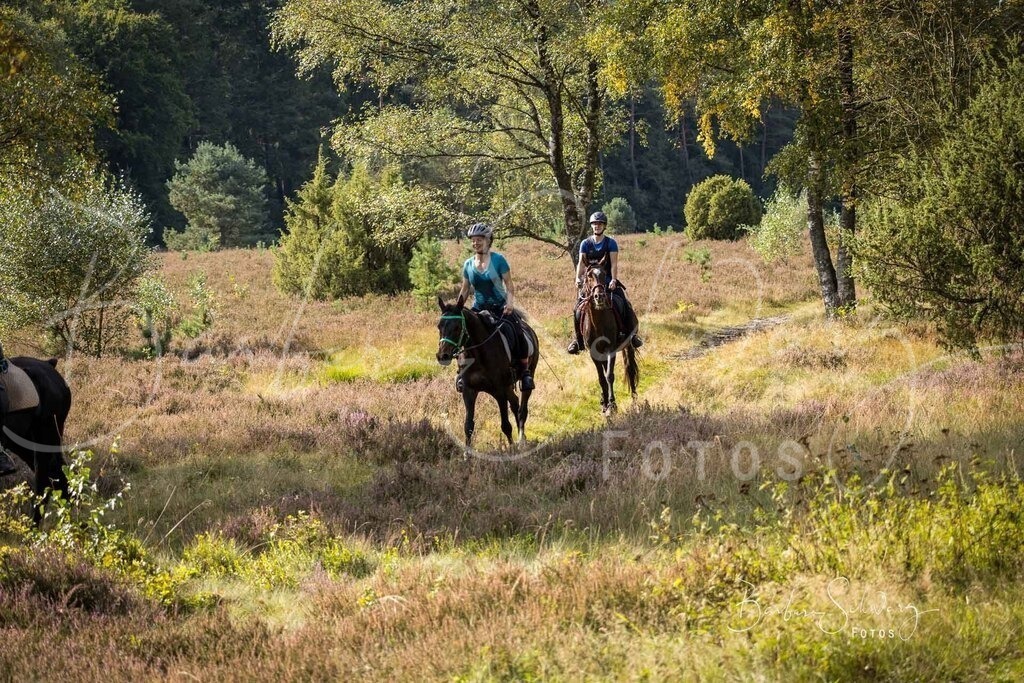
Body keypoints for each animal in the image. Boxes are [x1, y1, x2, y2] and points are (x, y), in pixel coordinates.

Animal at [435, 295, 539, 450]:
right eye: (439, 326)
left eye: (457, 327)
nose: (443, 356)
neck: (478, 353)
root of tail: (529, 330)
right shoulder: (469, 390)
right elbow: (468, 426)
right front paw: (467, 453)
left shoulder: (499, 391)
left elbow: (506, 425)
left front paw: (511, 449)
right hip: (508, 385)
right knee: (515, 403)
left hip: (527, 375)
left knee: (522, 410)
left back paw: (521, 441)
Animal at [578, 267, 639, 416]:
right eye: (588, 276)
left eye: (604, 274)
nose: (599, 296)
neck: (598, 322)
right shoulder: (594, 353)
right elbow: (601, 378)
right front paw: (605, 404)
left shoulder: (611, 350)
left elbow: (609, 376)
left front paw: (612, 405)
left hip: (628, 345)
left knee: (630, 369)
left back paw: (635, 400)